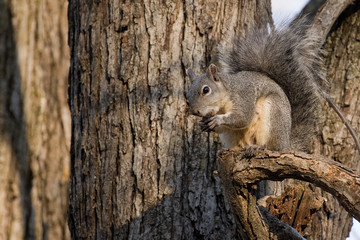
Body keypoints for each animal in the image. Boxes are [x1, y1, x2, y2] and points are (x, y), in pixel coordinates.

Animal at [186, 17, 360, 152]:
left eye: (206, 90)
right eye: (187, 96)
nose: (195, 111)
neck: (224, 98)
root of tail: (286, 143)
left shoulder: (244, 95)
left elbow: (242, 118)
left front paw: (217, 119)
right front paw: (203, 124)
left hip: (273, 115)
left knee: (272, 147)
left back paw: (258, 147)